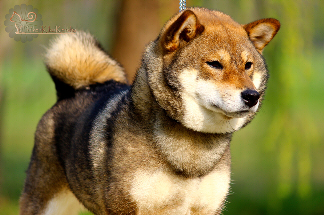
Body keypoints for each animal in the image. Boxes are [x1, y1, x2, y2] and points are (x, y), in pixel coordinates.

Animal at [20, 7, 280, 215]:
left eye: (248, 65)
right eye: (215, 64)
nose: (252, 96)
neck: (192, 154)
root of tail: (73, 91)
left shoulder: (207, 208)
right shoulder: (125, 207)